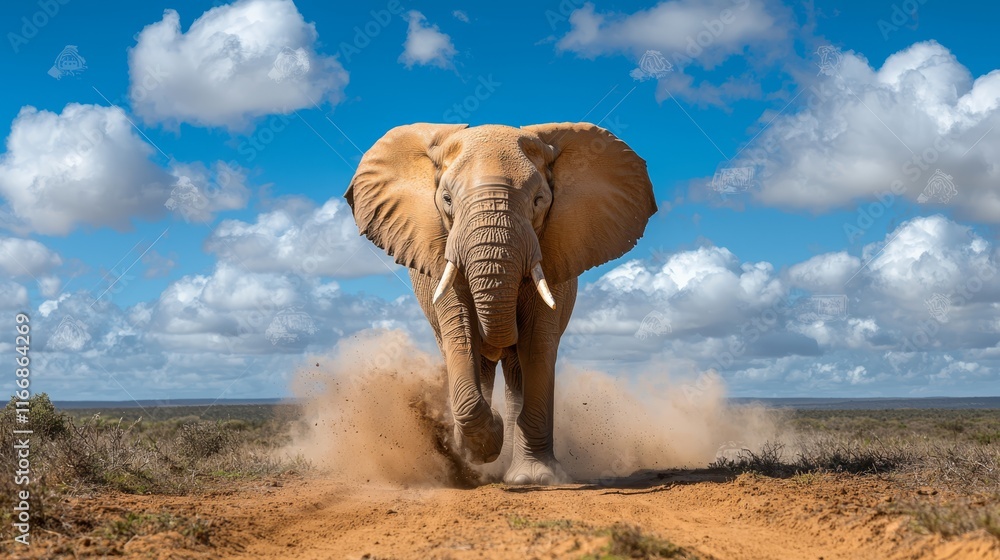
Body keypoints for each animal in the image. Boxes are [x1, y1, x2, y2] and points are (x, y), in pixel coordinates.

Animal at [345, 122, 656, 485]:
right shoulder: (440, 250)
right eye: (447, 199)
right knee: (475, 360)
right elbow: (461, 336)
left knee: (518, 368)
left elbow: (536, 343)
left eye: (538, 201)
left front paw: (534, 479)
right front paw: (484, 443)